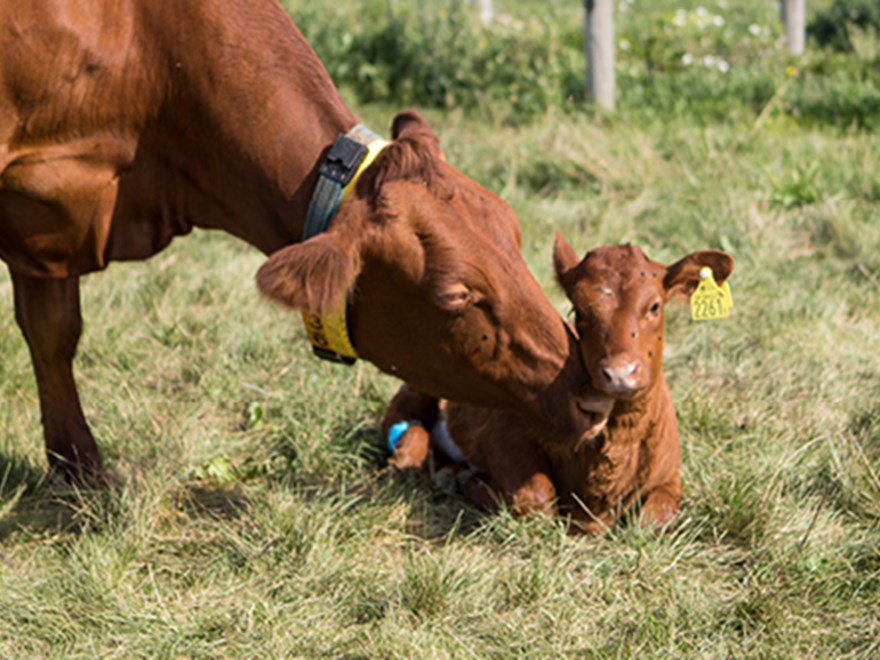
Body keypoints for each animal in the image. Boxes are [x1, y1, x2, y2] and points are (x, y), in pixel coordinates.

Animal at [0, 1, 600, 484]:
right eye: (456, 294)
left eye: (514, 230)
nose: (592, 396)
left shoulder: (43, 227)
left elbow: (53, 334)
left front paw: (77, 468)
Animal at [384, 235, 736, 532]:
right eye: (578, 311)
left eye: (654, 306)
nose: (619, 373)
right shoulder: (504, 432)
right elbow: (537, 500)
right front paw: (474, 483)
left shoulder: (669, 479)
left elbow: (651, 520)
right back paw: (414, 455)